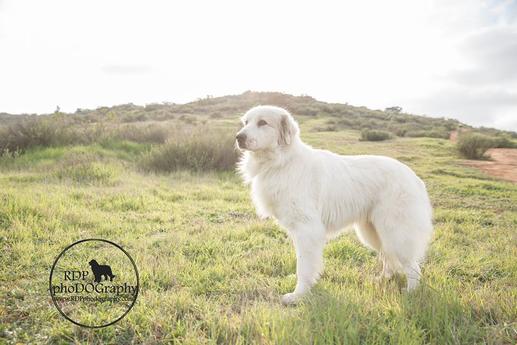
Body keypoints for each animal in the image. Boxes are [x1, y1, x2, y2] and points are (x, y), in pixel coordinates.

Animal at [236, 105, 434, 304]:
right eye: (246, 122)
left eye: (262, 122)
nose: (238, 137)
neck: (283, 161)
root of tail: (414, 177)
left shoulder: (307, 230)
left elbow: (304, 267)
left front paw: (298, 295)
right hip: (373, 232)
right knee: (388, 257)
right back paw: (382, 279)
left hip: (396, 233)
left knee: (413, 266)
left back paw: (411, 293)